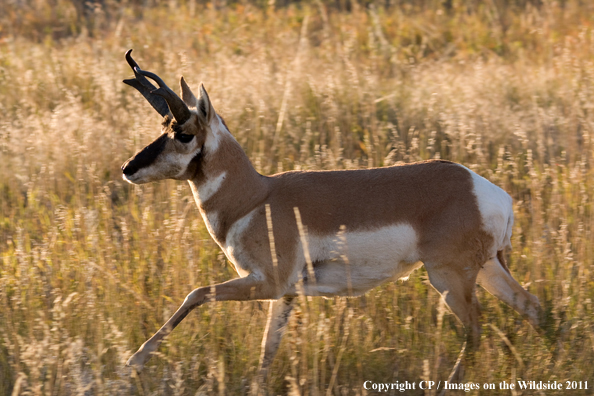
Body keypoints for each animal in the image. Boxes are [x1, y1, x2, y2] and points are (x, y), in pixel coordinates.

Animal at [120, 48, 540, 382]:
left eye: (183, 133)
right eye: (163, 125)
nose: (128, 168)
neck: (257, 196)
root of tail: (487, 191)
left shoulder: (266, 283)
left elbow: (195, 294)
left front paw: (135, 361)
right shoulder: (285, 295)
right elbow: (267, 350)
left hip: (449, 278)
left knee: (475, 330)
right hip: (485, 269)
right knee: (531, 306)